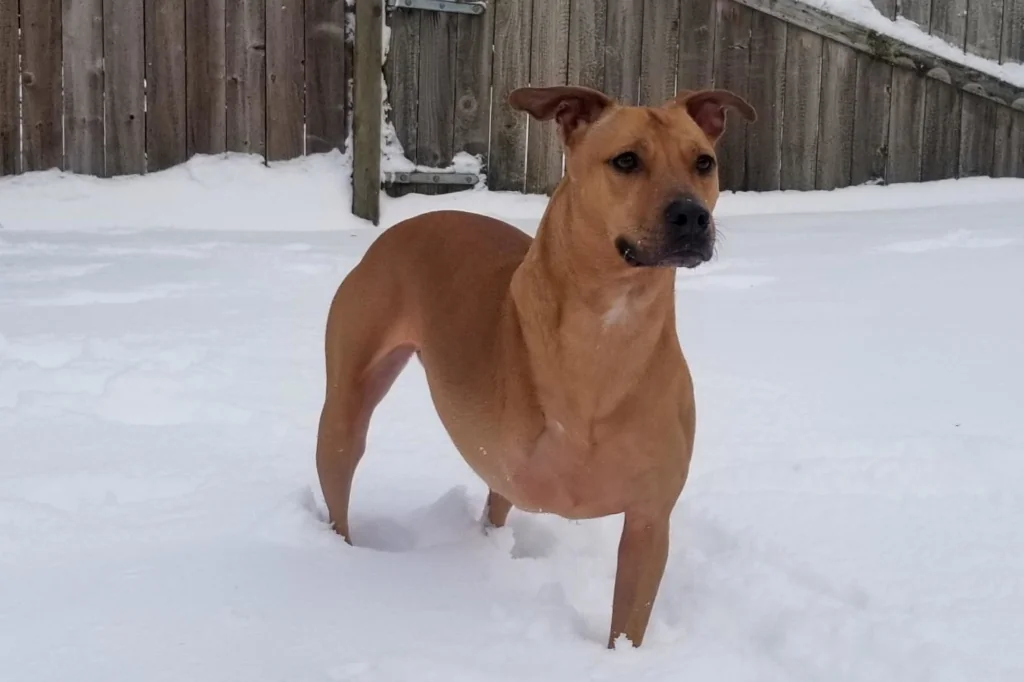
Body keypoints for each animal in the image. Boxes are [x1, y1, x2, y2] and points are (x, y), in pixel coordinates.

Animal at [315, 86, 757, 647]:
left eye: (704, 162)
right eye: (626, 160)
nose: (692, 216)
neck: (612, 328)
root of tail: (410, 223)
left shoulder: (650, 519)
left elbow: (628, 623)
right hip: (346, 408)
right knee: (340, 479)